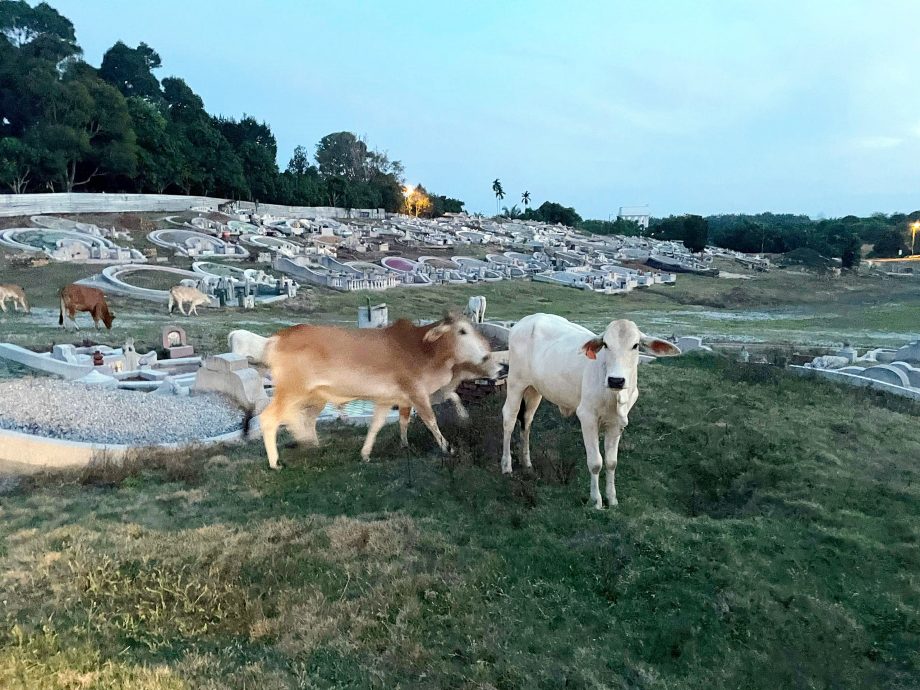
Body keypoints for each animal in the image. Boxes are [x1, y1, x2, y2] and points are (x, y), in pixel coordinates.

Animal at [253, 314, 496, 468]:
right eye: (462, 331)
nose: (487, 350)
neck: (423, 349)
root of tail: (277, 337)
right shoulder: (417, 393)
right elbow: (431, 420)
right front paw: (447, 448)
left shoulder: (388, 400)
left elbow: (377, 425)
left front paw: (366, 454)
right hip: (290, 392)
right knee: (269, 418)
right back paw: (275, 463)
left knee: (300, 419)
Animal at [500, 314, 680, 508]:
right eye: (606, 344)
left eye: (635, 345)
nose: (616, 380)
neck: (613, 396)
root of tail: (525, 321)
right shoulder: (587, 418)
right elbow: (595, 462)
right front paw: (596, 500)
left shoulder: (617, 423)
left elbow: (611, 462)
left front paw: (612, 498)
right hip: (515, 383)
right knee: (509, 418)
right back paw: (506, 465)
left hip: (534, 390)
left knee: (526, 420)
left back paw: (526, 462)